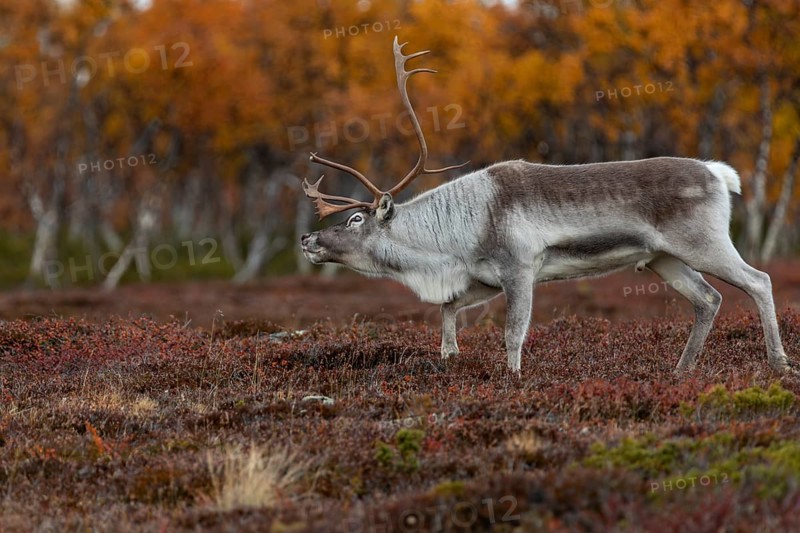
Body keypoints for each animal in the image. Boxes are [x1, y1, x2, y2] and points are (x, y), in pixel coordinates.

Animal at [300, 36, 793, 375]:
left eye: (356, 218)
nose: (307, 238)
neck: (451, 241)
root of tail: (717, 173)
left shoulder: (520, 268)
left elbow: (512, 333)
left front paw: (513, 379)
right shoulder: (483, 278)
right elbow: (447, 308)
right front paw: (450, 355)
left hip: (704, 243)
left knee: (759, 280)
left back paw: (779, 362)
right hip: (663, 258)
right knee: (708, 299)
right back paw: (680, 370)